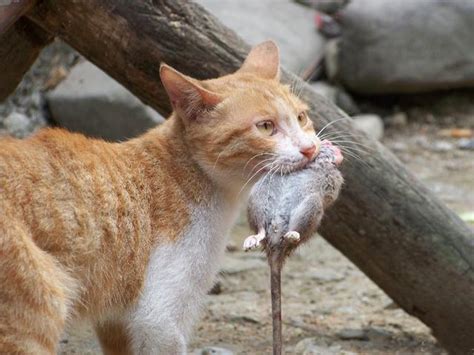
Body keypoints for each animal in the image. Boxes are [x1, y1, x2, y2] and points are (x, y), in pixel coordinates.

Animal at [0, 41, 320, 354]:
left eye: (302, 117)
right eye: (266, 126)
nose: (310, 149)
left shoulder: (117, 322)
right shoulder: (158, 319)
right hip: (39, 309)